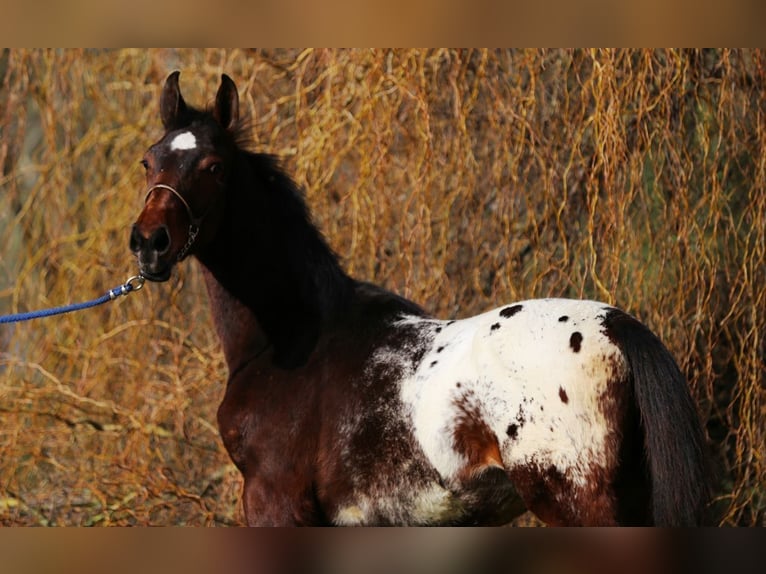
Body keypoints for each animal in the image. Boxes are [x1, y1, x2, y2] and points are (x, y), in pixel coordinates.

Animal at [129, 72, 710, 526]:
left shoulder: (276, 505)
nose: (148, 243)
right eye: (149, 161)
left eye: (214, 167)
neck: (291, 341)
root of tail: (617, 327)